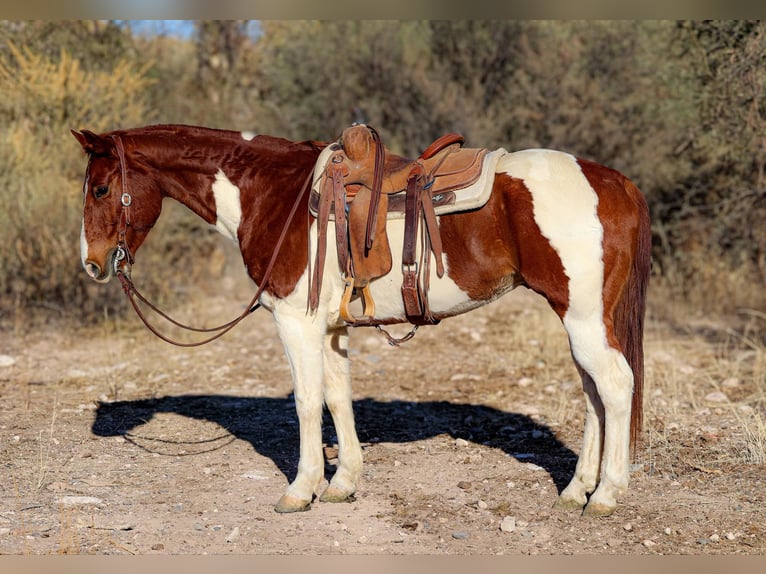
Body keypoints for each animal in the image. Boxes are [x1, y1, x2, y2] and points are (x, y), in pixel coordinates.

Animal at [72, 123, 651, 517]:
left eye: (100, 189)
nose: (93, 264)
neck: (274, 192)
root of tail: (616, 183)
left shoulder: (296, 322)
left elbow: (307, 403)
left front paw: (300, 490)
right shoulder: (330, 328)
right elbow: (337, 397)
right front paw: (343, 483)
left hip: (583, 318)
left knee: (615, 385)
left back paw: (607, 494)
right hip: (582, 320)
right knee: (595, 393)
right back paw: (577, 489)